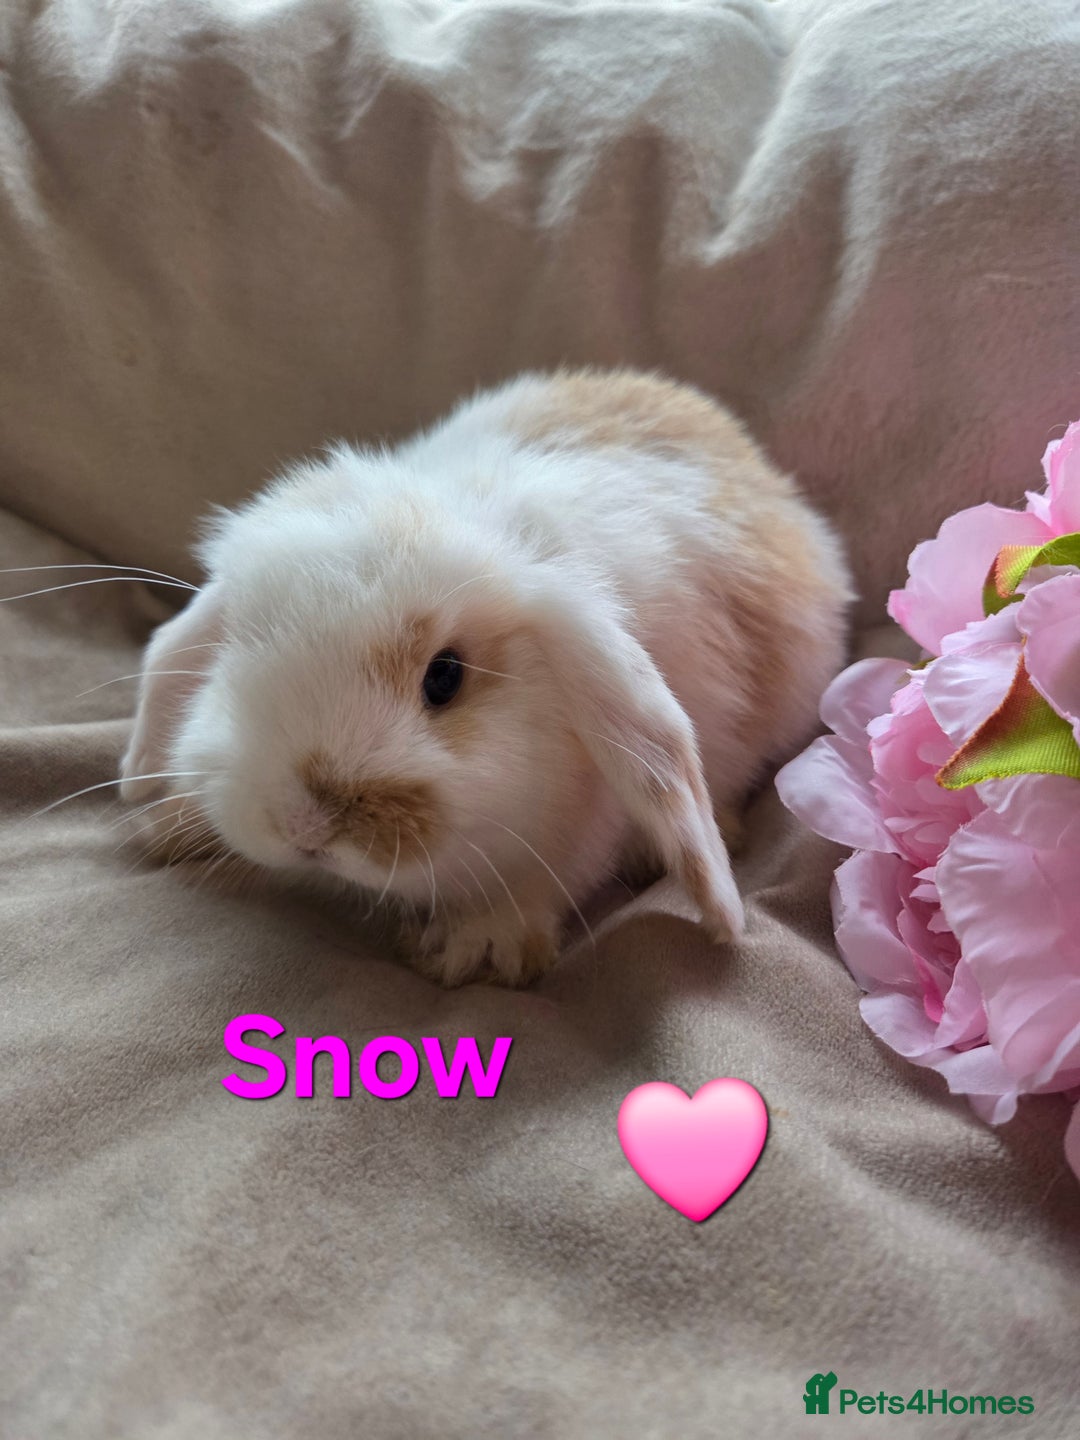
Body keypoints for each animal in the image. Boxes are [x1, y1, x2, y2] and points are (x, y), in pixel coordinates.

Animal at [120, 369, 853, 986]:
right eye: (234, 655)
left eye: (445, 678)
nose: (304, 828)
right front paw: (168, 820)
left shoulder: (580, 826)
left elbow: (541, 884)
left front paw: (475, 949)